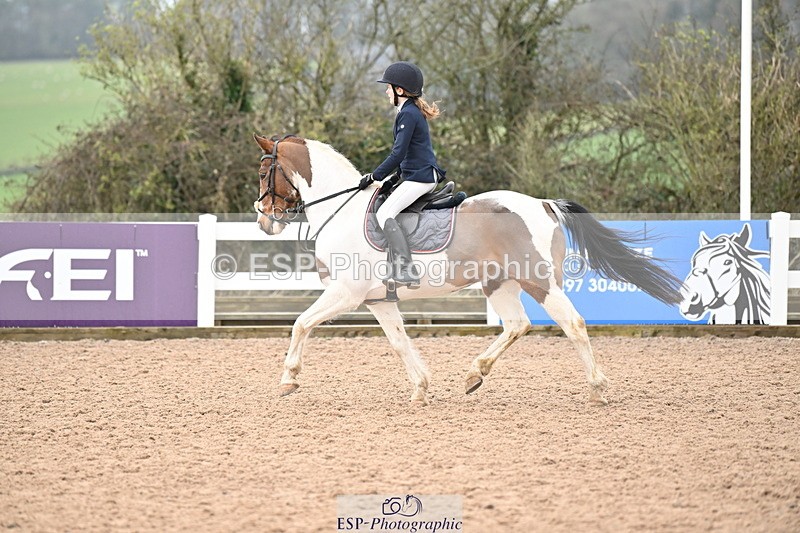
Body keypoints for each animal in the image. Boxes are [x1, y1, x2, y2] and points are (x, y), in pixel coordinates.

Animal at [252, 133, 683, 405]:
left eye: (262, 172)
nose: (263, 221)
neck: (341, 210)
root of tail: (544, 203)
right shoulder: (378, 300)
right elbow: (399, 342)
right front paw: (421, 389)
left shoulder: (346, 293)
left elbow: (301, 324)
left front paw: (289, 379)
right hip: (500, 283)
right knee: (517, 324)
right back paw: (475, 373)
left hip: (539, 281)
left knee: (573, 324)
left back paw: (597, 388)